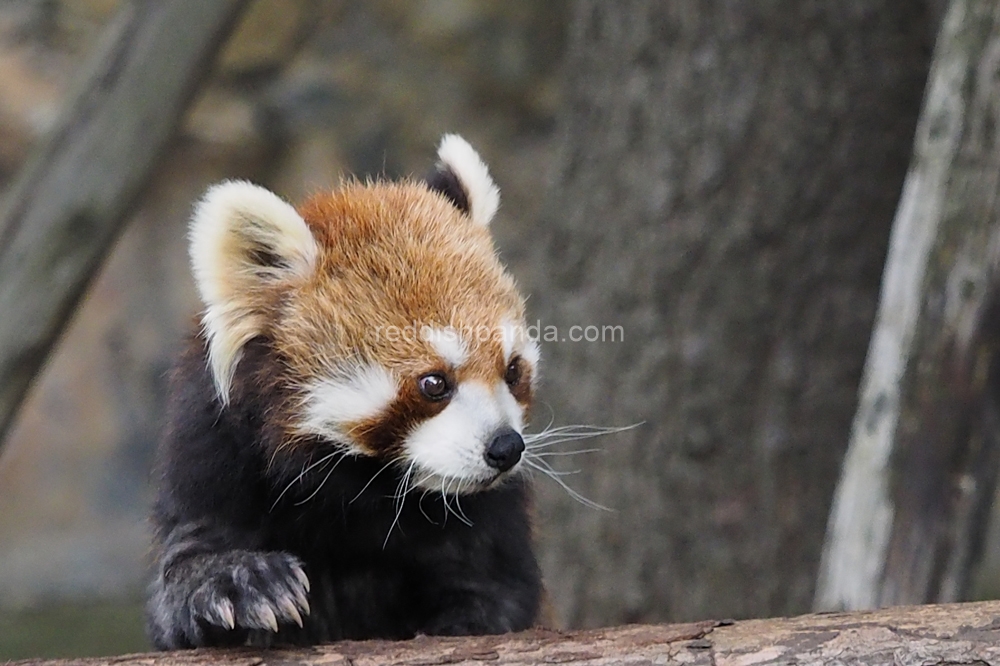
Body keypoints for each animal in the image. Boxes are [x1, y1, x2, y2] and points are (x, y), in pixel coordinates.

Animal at [145, 136, 544, 648]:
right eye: (434, 383)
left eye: (512, 370)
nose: (506, 447)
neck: (365, 491)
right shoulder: (210, 458)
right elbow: (187, 572)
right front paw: (244, 583)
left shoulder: (491, 518)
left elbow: (496, 589)